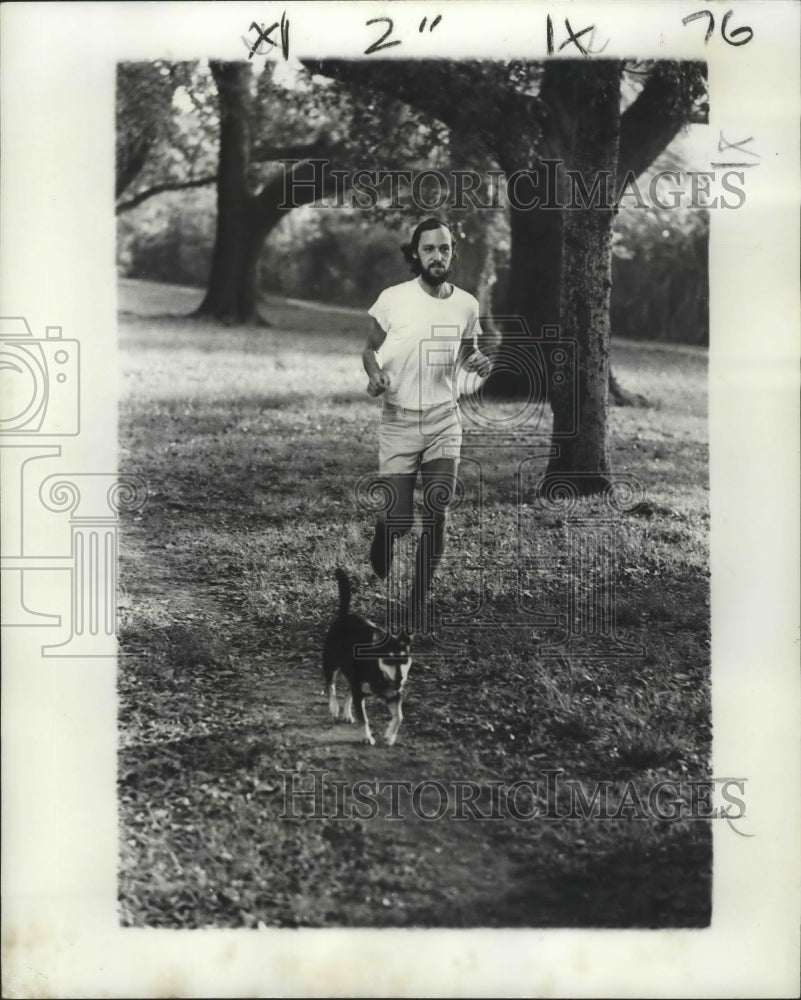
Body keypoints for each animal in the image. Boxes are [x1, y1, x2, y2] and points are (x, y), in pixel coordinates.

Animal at [322, 568, 412, 748]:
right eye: (388, 659)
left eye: (404, 660)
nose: (400, 678)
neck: (378, 672)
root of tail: (344, 616)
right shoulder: (360, 693)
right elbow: (364, 719)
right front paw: (367, 737)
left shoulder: (394, 696)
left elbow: (399, 717)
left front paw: (389, 737)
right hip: (331, 665)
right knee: (331, 686)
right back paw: (334, 708)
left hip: (350, 674)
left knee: (347, 691)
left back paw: (347, 713)